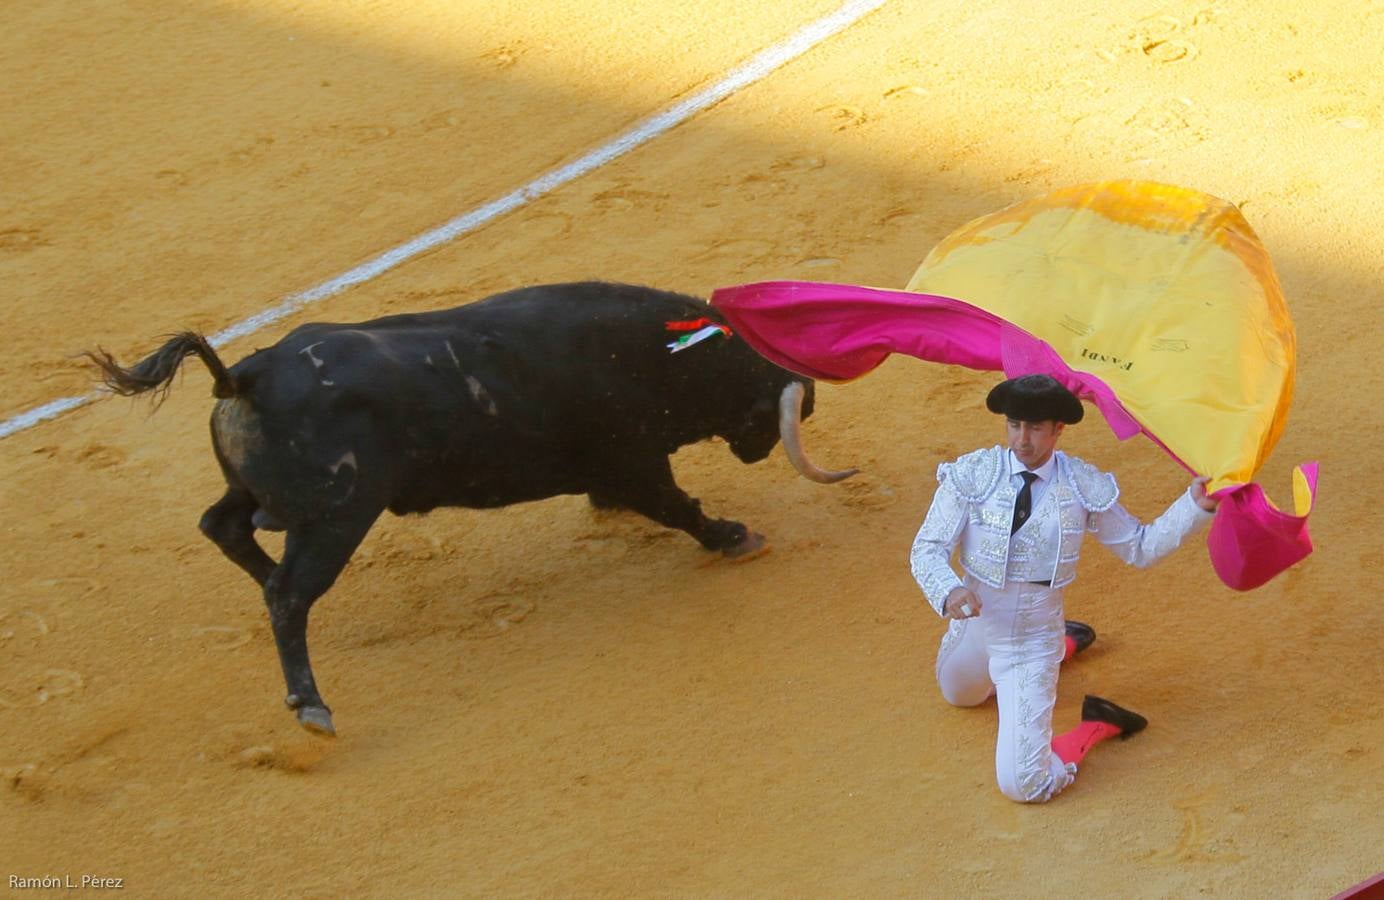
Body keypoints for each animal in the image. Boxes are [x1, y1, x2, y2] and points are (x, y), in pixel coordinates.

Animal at [89, 282, 852, 736]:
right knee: (287, 592)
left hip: (273, 502)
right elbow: (678, 508)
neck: (655, 354)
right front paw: (733, 535)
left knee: (225, 529)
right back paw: (311, 704)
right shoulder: (633, 460)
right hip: (338, 517)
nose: (810, 397)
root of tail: (245, 375)